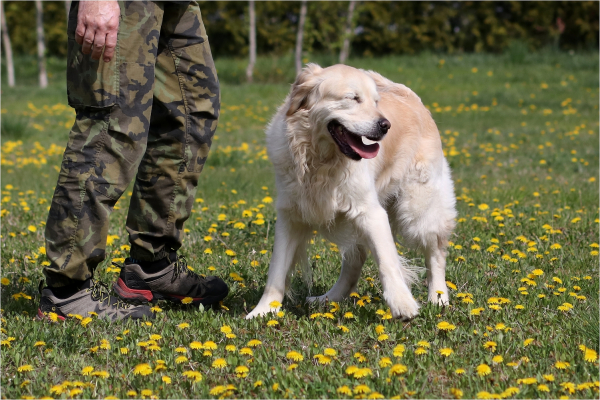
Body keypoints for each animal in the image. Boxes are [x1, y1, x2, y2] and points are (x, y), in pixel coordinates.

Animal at [244, 64, 454, 320]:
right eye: (353, 98)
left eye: (376, 102)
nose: (385, 125)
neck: (321, 161)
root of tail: (409, 95)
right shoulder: (291, 215)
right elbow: (277, 268)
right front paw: (264, 311)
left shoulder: (371, 213)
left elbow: (387, 262)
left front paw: (403, 304)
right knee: (355, 262)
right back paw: (329, 298)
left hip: (419, 208)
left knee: (435, 253)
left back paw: (438, 298)